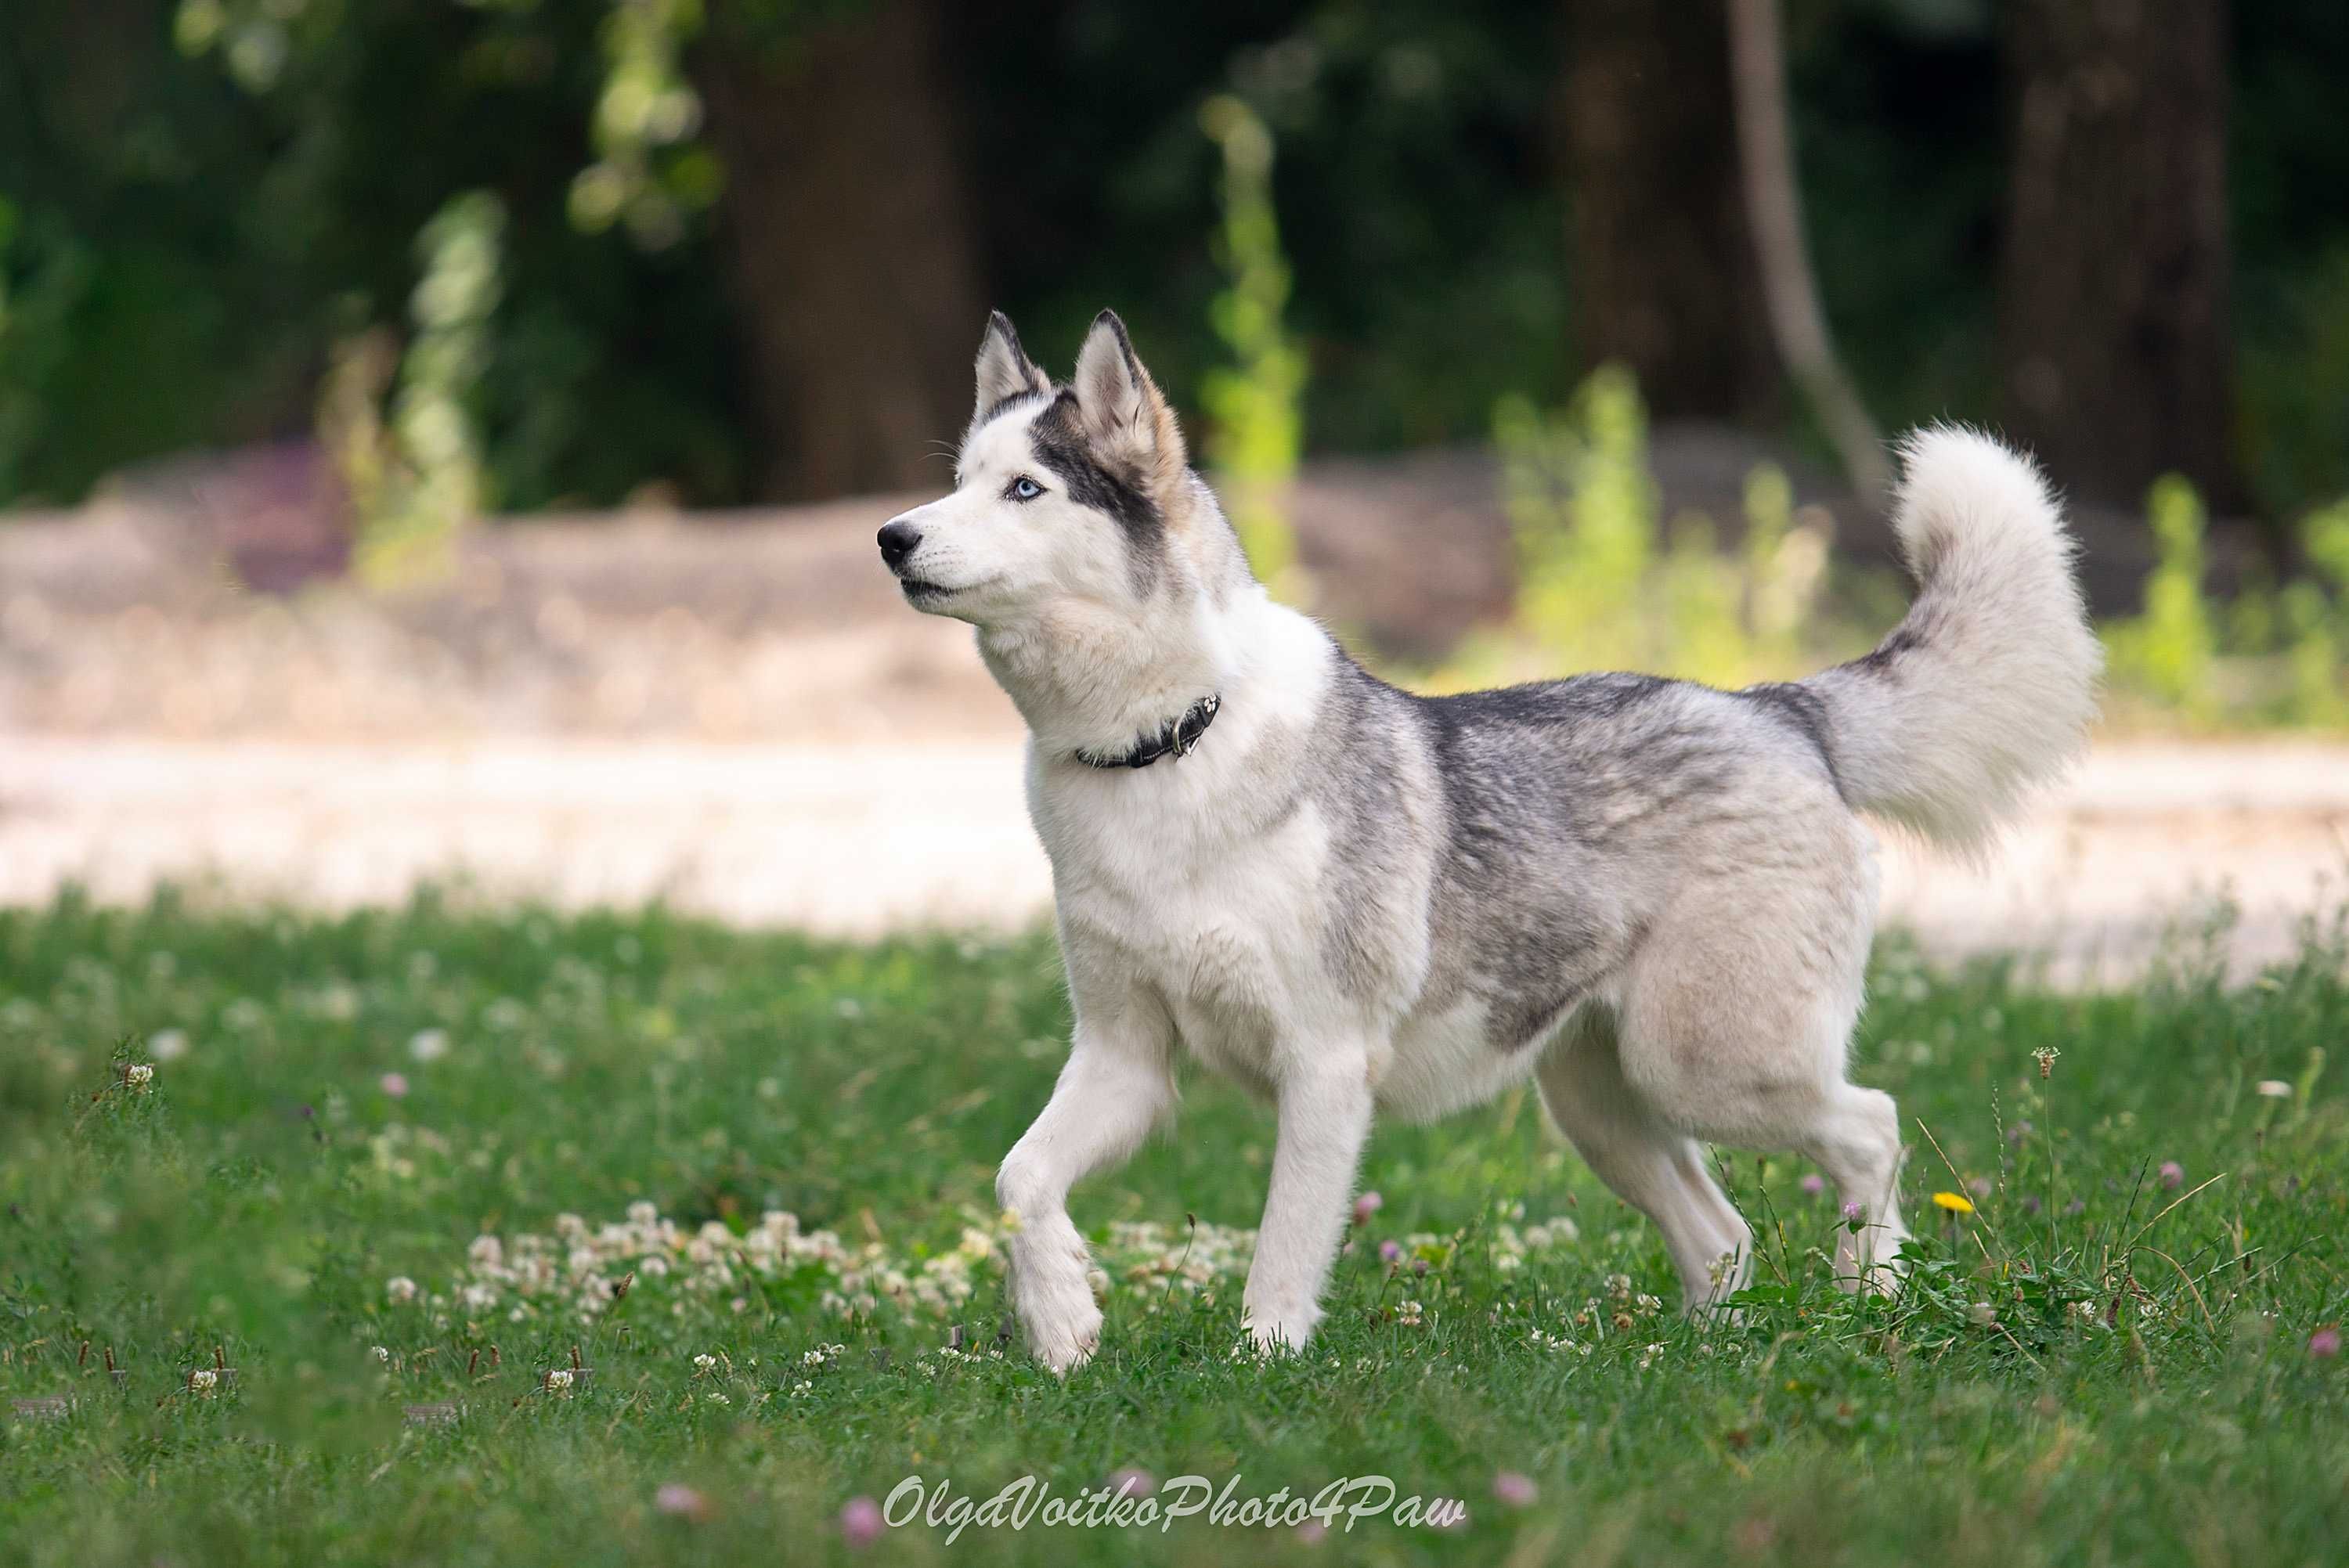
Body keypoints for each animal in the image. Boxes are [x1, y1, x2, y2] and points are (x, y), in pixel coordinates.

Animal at [883, 309, 2114, 1371]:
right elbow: (1021, 1179)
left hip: (1709, 1064)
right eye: (957, 478)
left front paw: (1259, 1374)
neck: (1166, 744)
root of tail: (1778, 708)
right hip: (1604, 1106)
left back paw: (1876, 1299)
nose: (892, 536)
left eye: (1026, 487)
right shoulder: (1125, 1058)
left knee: (1871, 1128)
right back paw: (1708, 1355)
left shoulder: (1324, 1067)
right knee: (1725, 1236)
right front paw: (1062, 1323)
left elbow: (1279, 1258)